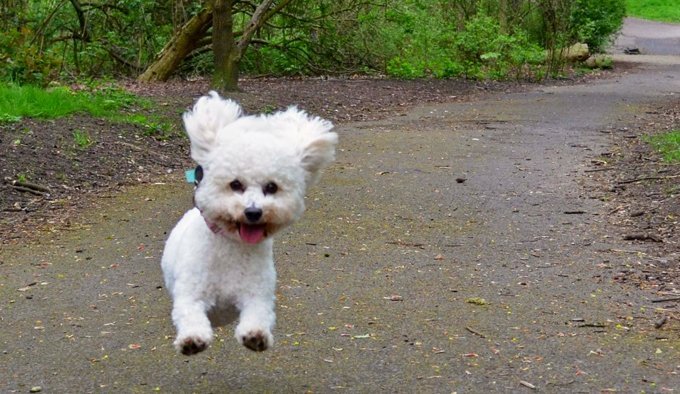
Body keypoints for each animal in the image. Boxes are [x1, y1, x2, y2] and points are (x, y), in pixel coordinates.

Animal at [162, 91, 338, 354]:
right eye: (235, 184)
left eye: (271, 187)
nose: (253, 212)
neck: (232, 246)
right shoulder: (191, 294)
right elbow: (190, 314)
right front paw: (192, 339)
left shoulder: (257, 294)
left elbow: (259, 314)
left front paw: (255, 335)